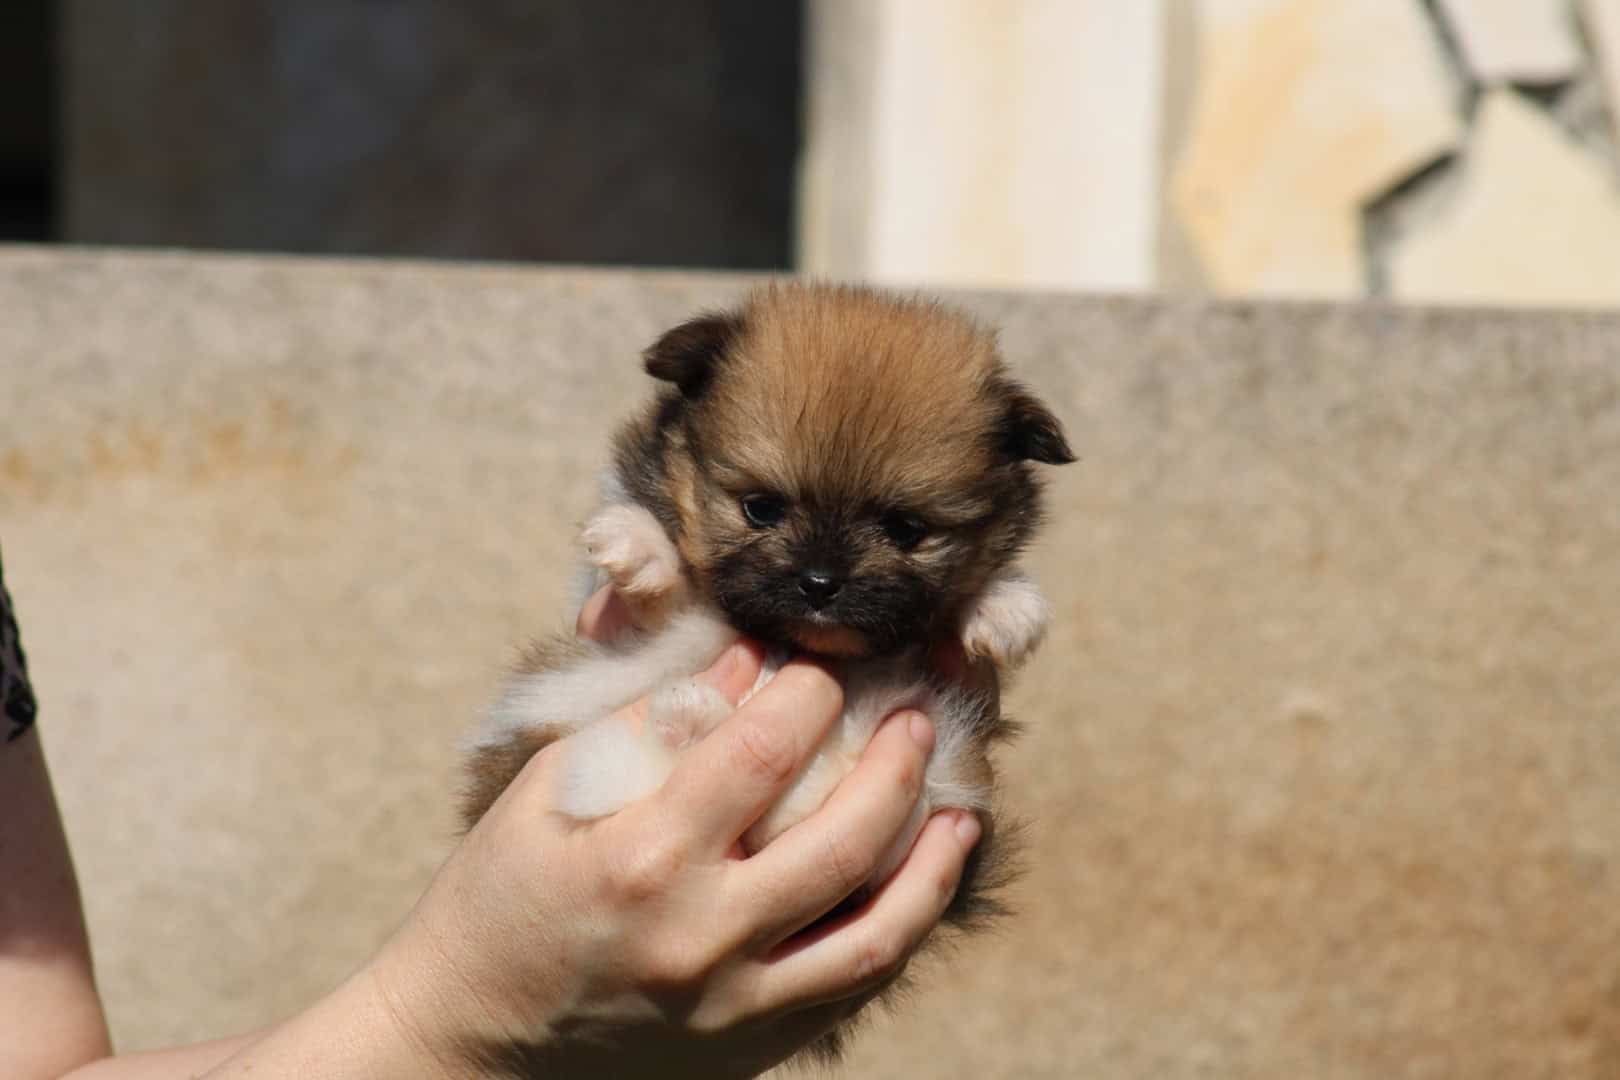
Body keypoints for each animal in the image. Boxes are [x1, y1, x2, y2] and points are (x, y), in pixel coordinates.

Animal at [463, 284, 1069, 1055]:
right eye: (760, 508)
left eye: (905, 529)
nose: (819, 583)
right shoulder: (656, 621)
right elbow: (669, 587)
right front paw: (636, 542)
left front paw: (1004, 603)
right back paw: (692, 716)